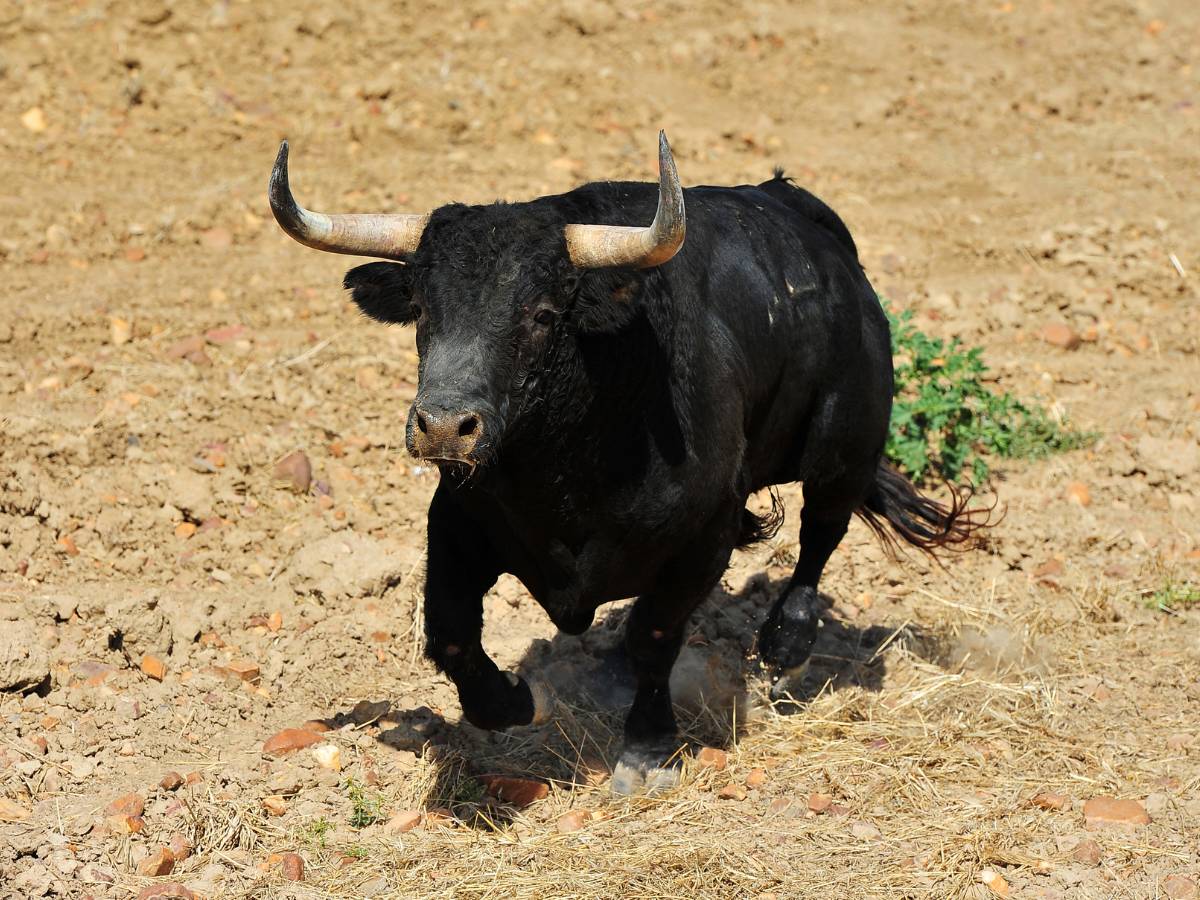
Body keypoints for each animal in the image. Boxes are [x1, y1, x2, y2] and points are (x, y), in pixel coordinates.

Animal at [270, 133, 984, 796]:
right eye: (421, 310)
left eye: (542, 314)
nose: (445, 426)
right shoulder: (454, 523)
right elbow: (450, 633)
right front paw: (513, 700)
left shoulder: (703, 538)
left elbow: (656, 635)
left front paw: (647, 749)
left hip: (847, 438)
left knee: (821, 534)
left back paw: (785, 643)